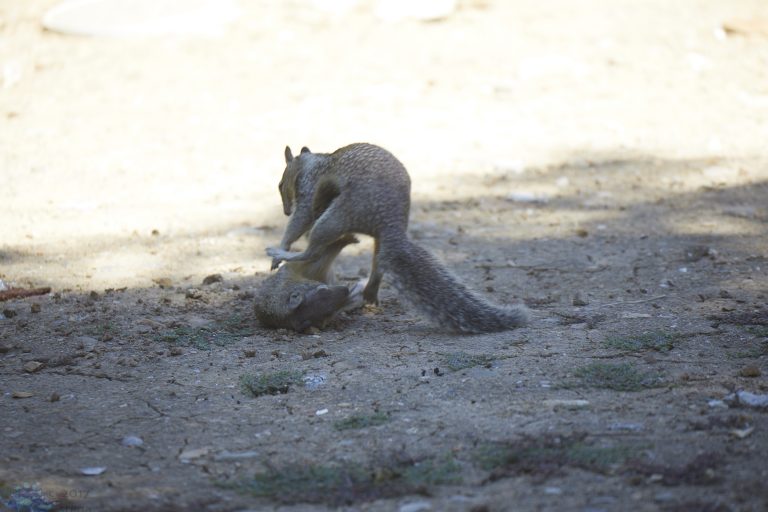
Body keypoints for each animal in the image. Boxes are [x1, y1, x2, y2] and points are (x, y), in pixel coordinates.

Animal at [267, 143, 530, 333]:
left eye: (280, 184)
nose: (285, 211)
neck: (314, 162)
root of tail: (391, 224)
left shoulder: (309, 191)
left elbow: (301, 219)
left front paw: (282, 246)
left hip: (338, 214)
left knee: (314, 249)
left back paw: (282, 254)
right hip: (371, 236)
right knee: (378, 263)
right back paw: (369, 293)